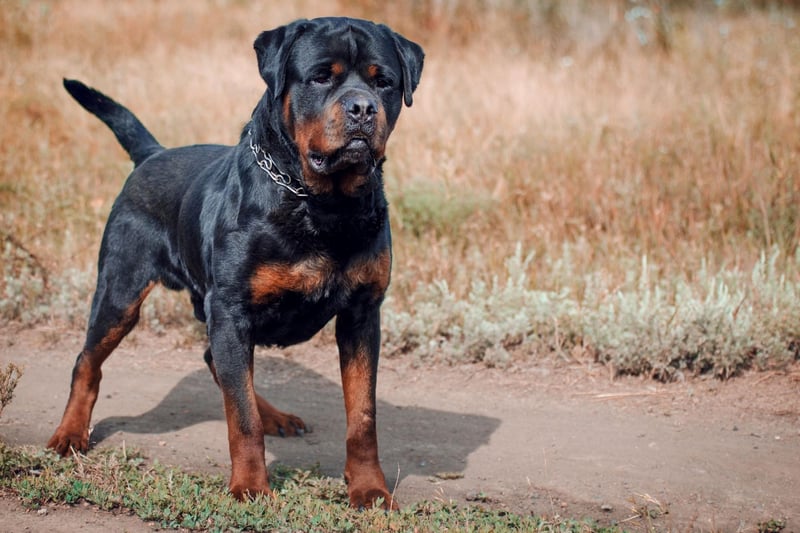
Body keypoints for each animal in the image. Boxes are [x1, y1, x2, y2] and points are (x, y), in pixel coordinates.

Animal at [47, 15, 424, 508]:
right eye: (322, 76)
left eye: (385, 83)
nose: (363, 108)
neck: (319, 202)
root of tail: (153, 154)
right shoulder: (230, 310)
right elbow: (241, 418)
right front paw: (250, 486)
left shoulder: (362, 314)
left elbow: (362, 416)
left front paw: (370, 489)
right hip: (121, 291)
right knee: (88, 361)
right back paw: (70, 433)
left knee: (220, 364)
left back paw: (276, 416)